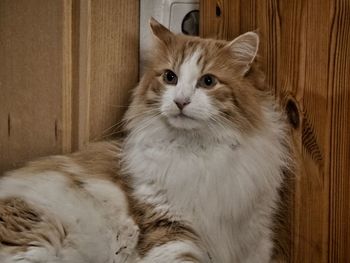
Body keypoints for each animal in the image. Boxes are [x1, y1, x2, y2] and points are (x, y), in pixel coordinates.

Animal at [0, 17, 292, 262]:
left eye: (208, 81)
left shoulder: (254, 235)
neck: (198, 152)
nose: (181, 101)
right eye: (170, 77)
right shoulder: (169, 224)